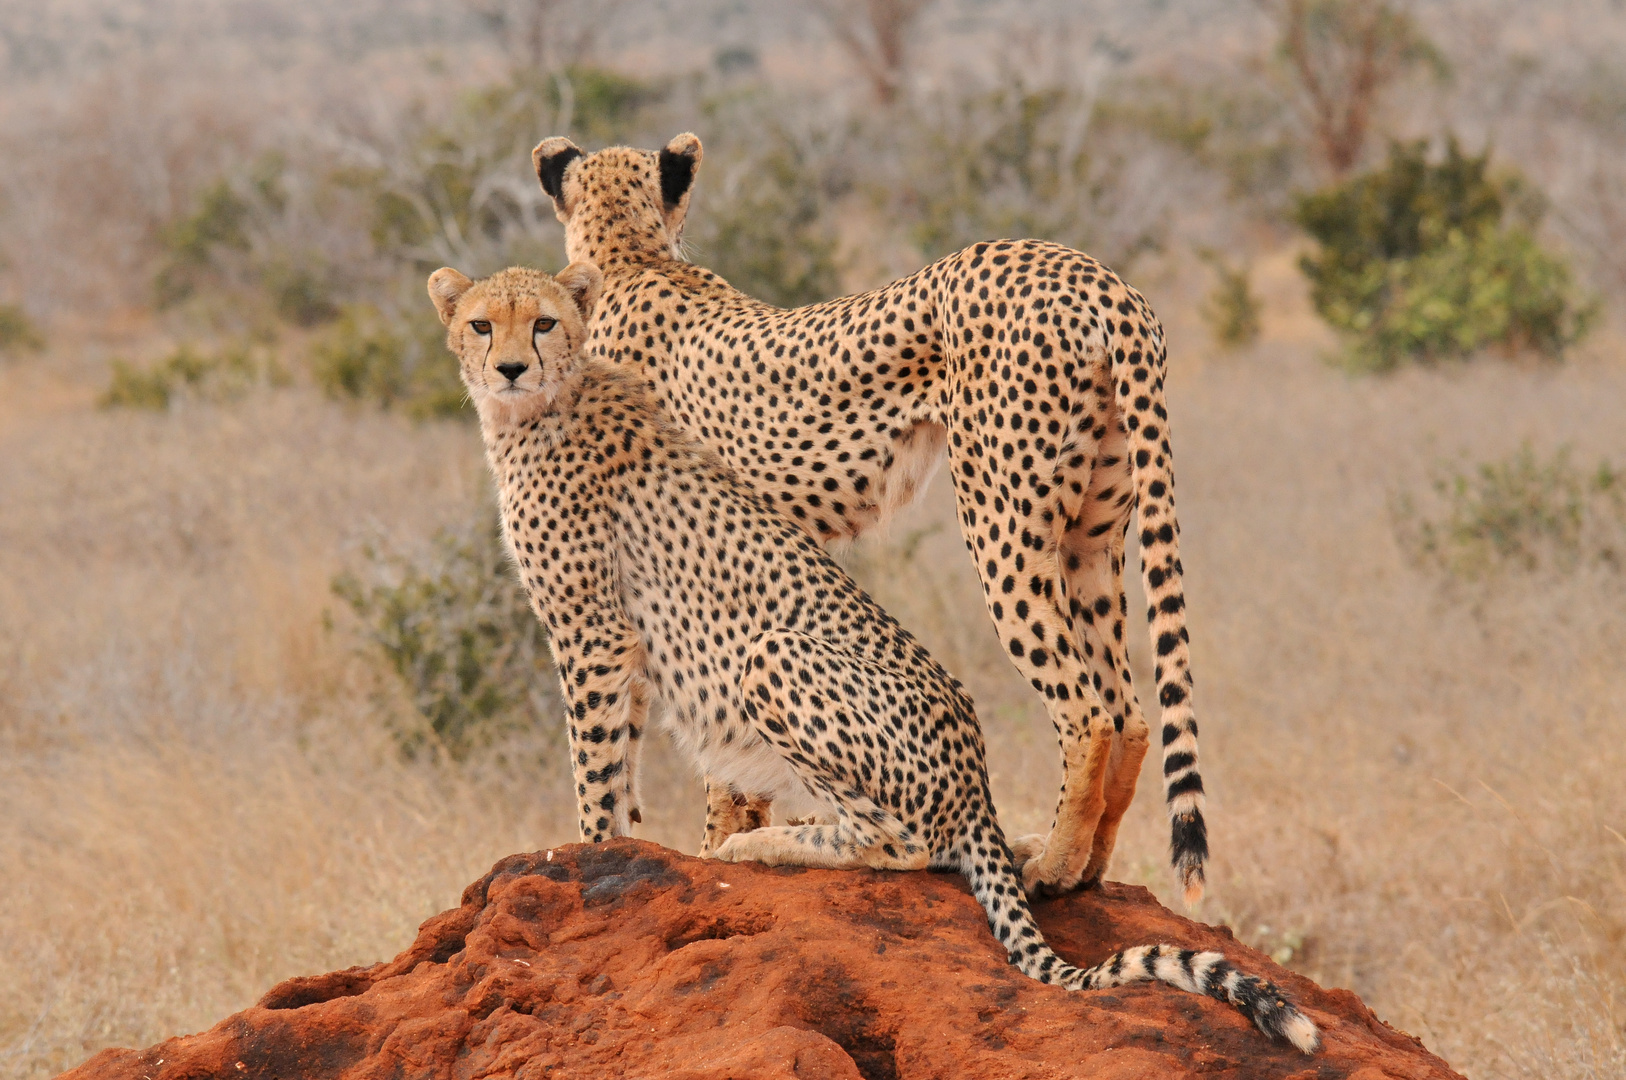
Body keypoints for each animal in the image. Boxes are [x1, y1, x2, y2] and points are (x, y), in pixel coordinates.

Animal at [426, 256, 1313, 1047]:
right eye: (482, 324)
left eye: (544, 322)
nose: (510, 367)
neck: (542, 408)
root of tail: (977, 783)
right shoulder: (619, 646)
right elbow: (623, 772)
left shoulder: (594, 634)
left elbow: (598, 774)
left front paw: (593, 854)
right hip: (1093, 527)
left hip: (784, 647)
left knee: (910, 839)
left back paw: (769, 845)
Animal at [526, 130, 1203, 897]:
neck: (631, 256)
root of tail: (1094, 274)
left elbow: (681, 757)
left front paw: (708, 848)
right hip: (1093, 537)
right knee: (1131, 713)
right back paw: (1090, 866)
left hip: (1004, 528)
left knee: (1085, 711)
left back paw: (1050, 867)